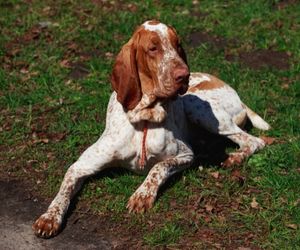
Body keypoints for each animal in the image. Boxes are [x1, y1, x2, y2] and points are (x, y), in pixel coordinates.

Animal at [32, 20, 270, 237]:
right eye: (153, 48)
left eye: (177, 45)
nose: (184, 75)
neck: (143, 117)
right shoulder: (81, 165)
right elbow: (63, 191)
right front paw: (49, 218)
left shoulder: (185, 155)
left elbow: (158, 168)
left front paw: (142, 195)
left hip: (200, 109)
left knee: (253, 140)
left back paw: (235, 157)